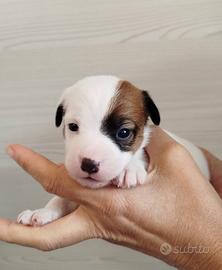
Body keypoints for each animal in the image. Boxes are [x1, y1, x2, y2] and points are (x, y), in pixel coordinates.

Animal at [17, 75, 210, 226]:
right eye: (72, 127)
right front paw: (42, 212)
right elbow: (60, 199)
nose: (89, 164)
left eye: (123, 132)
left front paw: (130, 168)